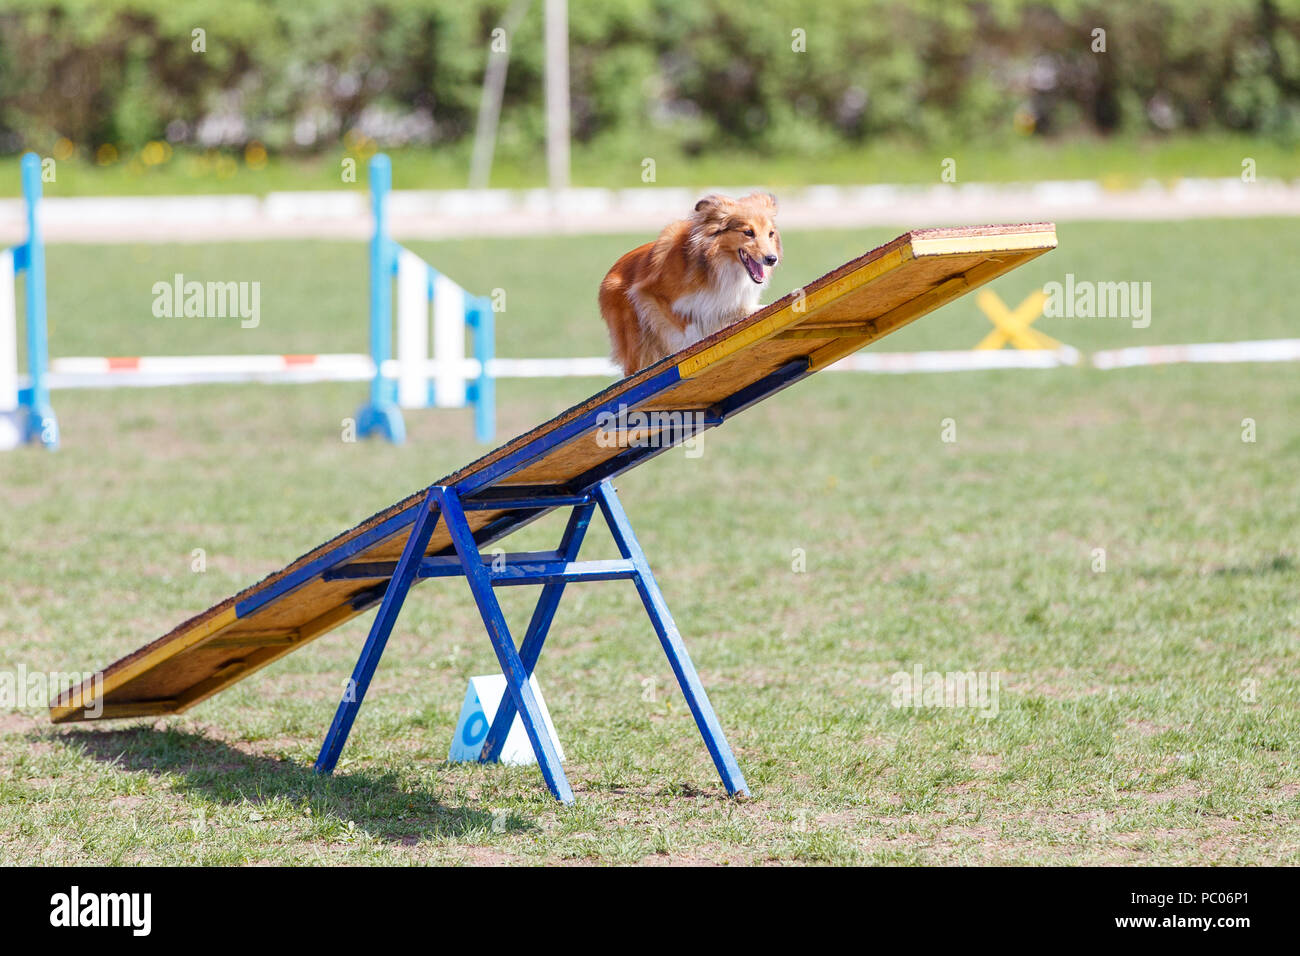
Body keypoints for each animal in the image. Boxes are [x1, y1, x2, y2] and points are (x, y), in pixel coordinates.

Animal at [598, 191, 780, 377]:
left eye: (771, 233)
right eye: (748, 232)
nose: (772, 259)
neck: (718, 264)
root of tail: (610, 272)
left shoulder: (726, 305)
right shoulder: (651, 294)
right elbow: (688, 326)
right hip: (636, 340)